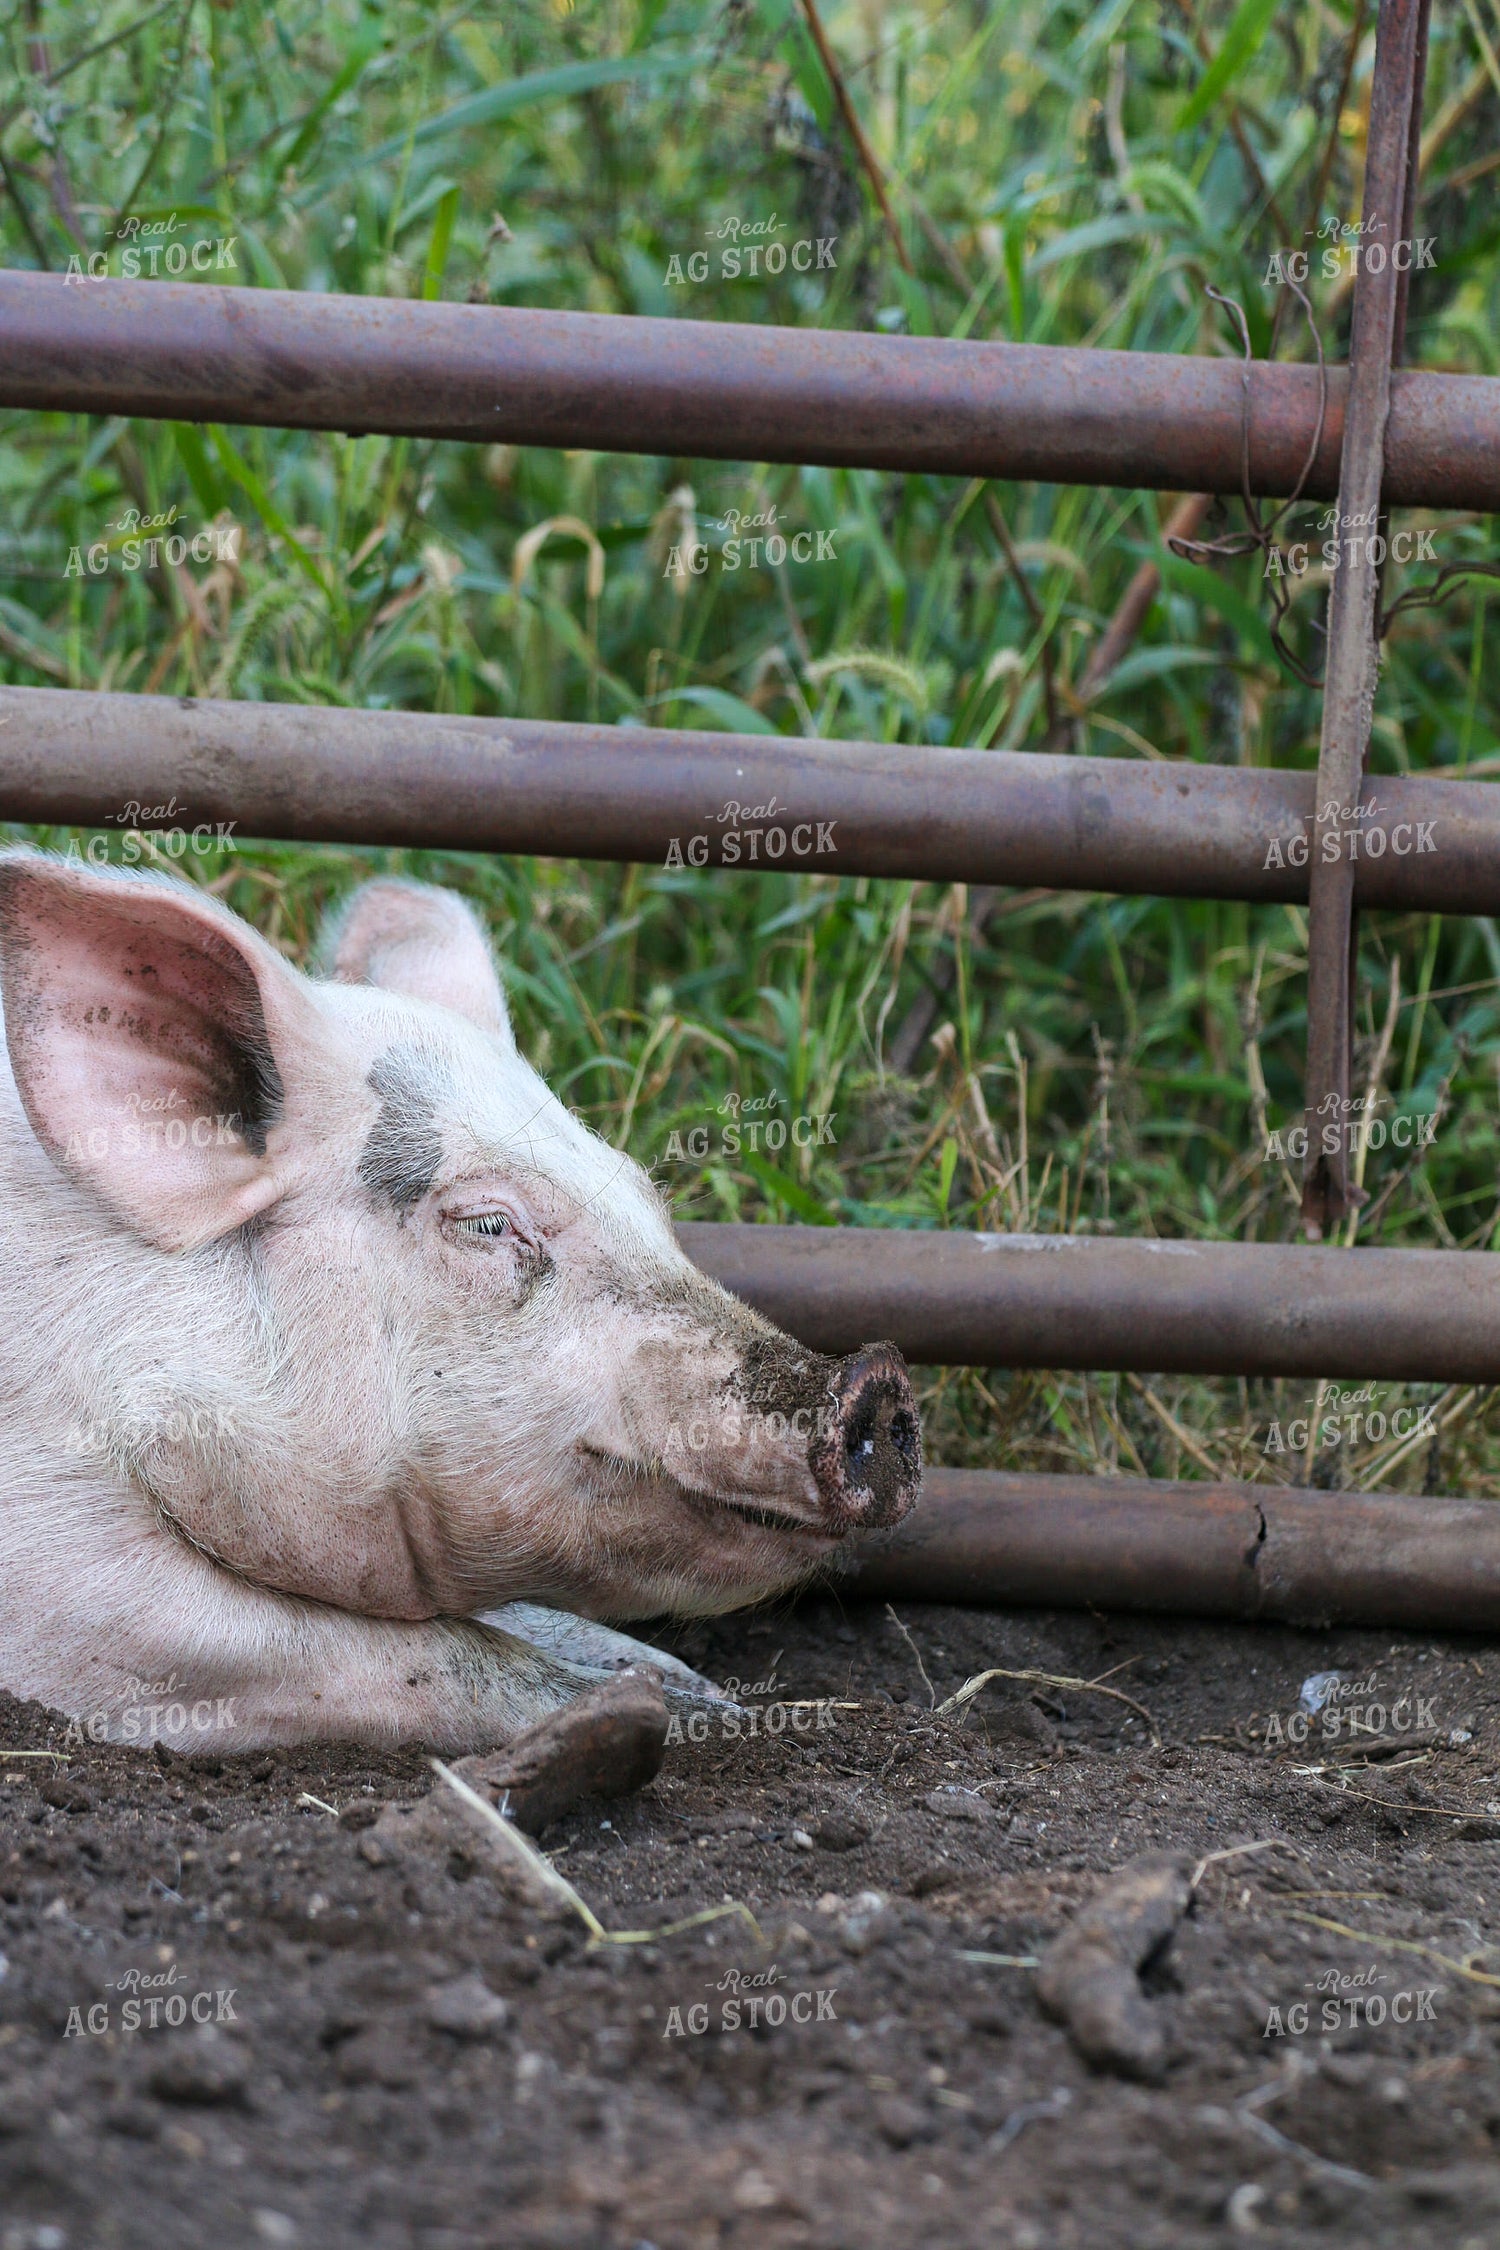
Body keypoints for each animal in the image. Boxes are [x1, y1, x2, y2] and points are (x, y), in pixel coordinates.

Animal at [0, 849, 920, 1750]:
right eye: (486, 1223)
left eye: (645, 1197)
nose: (872, 1382)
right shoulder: (63, 1562)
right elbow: (429, 1654)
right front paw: (685, 1719)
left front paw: (703, 1692)